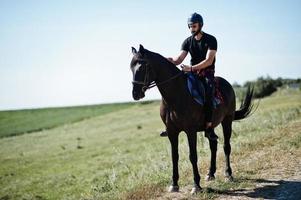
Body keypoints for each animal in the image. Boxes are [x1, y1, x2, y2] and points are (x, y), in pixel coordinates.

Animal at [129, 44, 253, 193]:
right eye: (131, 68)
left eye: (142, 67)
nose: (135, 94)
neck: (176, 95)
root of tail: (227, 84)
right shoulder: (172, 132)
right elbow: (174, 156)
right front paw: (174, 184)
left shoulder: (190, 131)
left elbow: (192, 156)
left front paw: (196, 186)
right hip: (210, 127)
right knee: (213, 145)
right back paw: (210, 173)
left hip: (227, 121)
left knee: (226, 146)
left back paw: (228, 174)